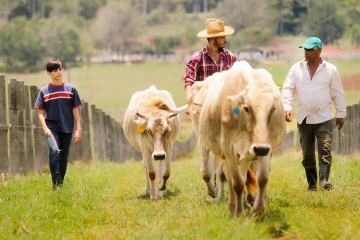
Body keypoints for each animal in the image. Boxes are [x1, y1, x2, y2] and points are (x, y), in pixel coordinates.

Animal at [190, 61, 286, 217]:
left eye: (273, 109)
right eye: (246, 108)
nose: (260, 148)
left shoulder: (266, 148)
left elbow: (262, 178)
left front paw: (259, 209)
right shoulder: (229, 150)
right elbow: (237, 183)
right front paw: (239, 213)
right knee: (229, 177)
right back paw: (232, 206)